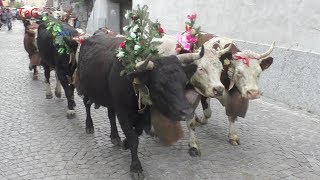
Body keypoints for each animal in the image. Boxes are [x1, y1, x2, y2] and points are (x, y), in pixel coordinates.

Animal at [76, 31, 204, 180]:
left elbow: (136, 133)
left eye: (184, 82)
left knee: (110, 115)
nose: (187, 111)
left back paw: (115, 136)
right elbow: (133, 138)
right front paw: (136, 167)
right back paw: (89, 126)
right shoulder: (123, 112)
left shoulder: (143, 114)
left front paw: (125, 143)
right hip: (85, 87)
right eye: (159, 85)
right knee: (87, 105)